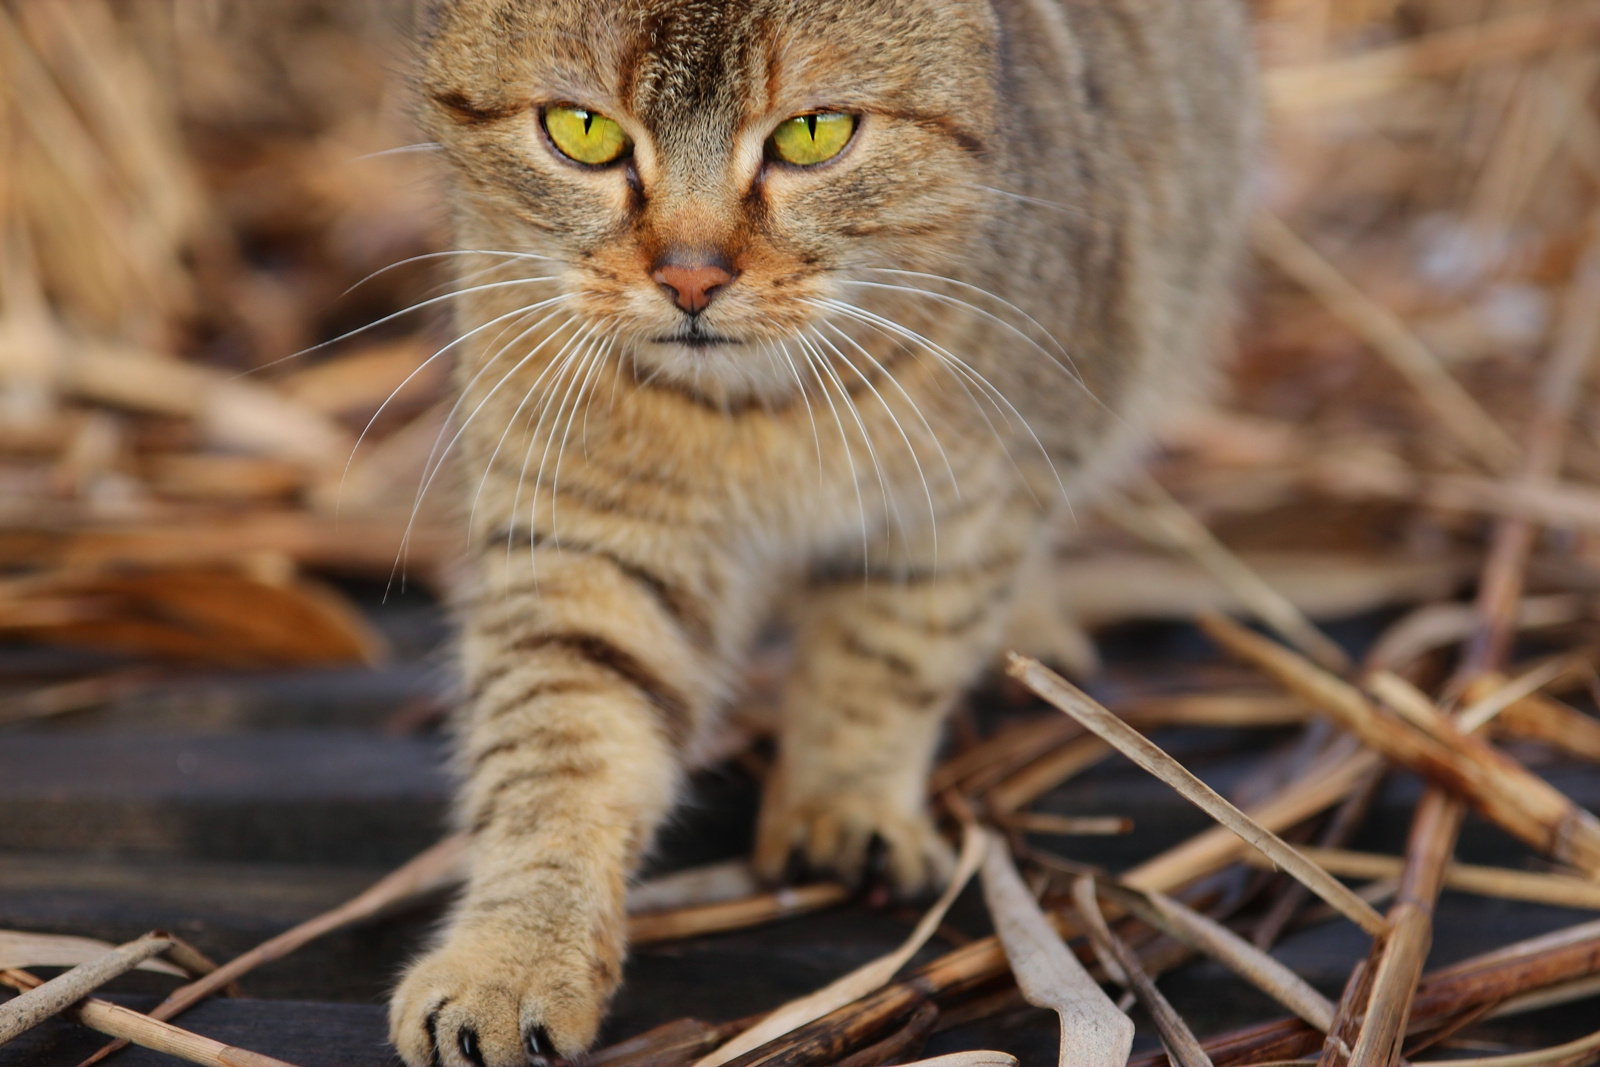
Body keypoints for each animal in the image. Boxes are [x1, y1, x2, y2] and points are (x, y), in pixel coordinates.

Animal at [393, 2, 1254, 1062]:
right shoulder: (587, 543)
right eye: (581, 130)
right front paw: (511, 956)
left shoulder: (962, 509)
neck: (749, 415)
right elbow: (561, 753)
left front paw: (843, 802)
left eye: (813, 134)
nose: (689, 279)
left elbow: (881, 664)